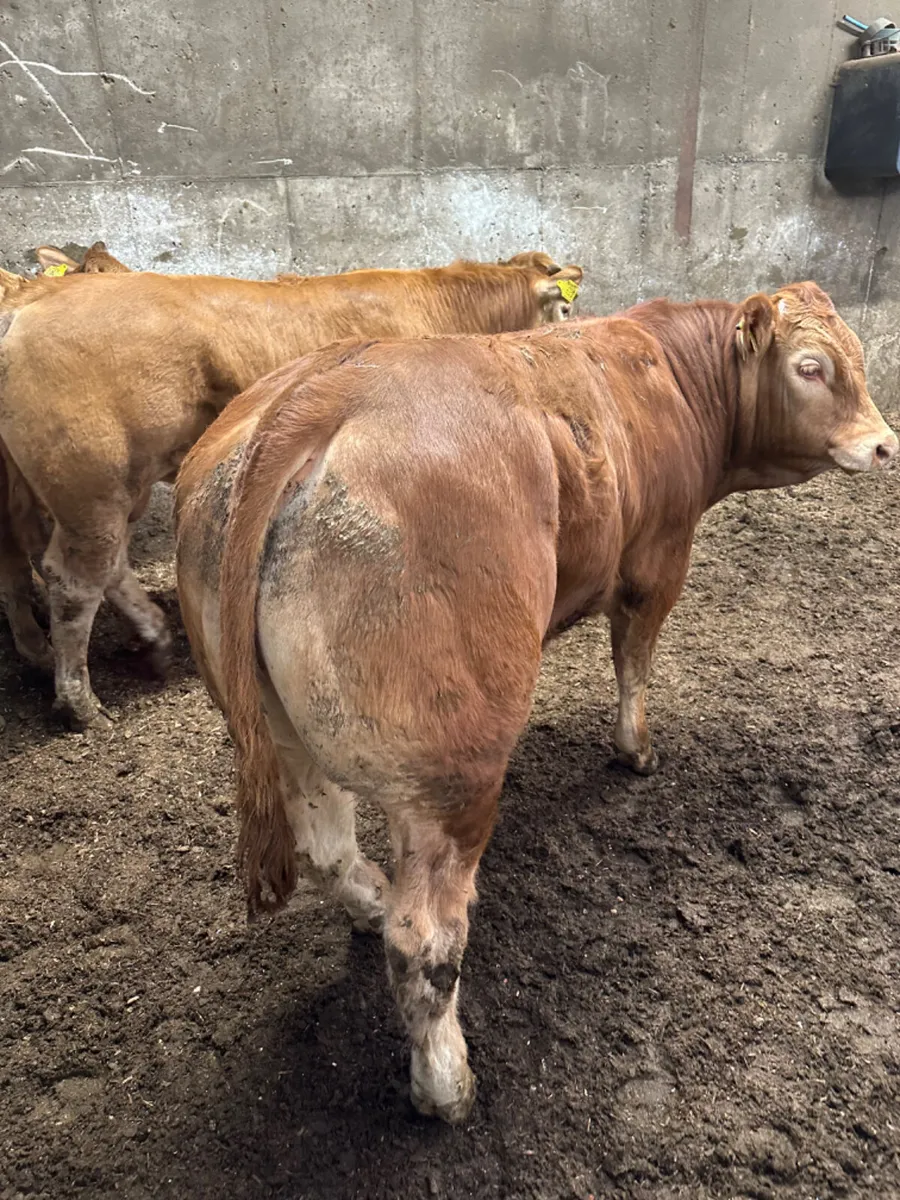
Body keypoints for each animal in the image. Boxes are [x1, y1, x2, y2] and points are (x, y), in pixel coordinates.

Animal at [0, 252, 583, 727]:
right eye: (564, 311)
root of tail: (34, 303)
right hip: (91, 486)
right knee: (74, 579)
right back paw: (79, 703)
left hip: (112, 489)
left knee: (99, 566)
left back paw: (146, 639)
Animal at [173, 281, 896, 1124]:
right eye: (811, 366)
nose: (885, 445)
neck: (670, 372)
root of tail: (319, 390)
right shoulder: (658, 558)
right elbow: (634, 660)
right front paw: (636, 750)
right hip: (450, 771)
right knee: (425, 938)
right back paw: (446, 1084)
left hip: (283, 732)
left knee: (326, 850)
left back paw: (371, 901)